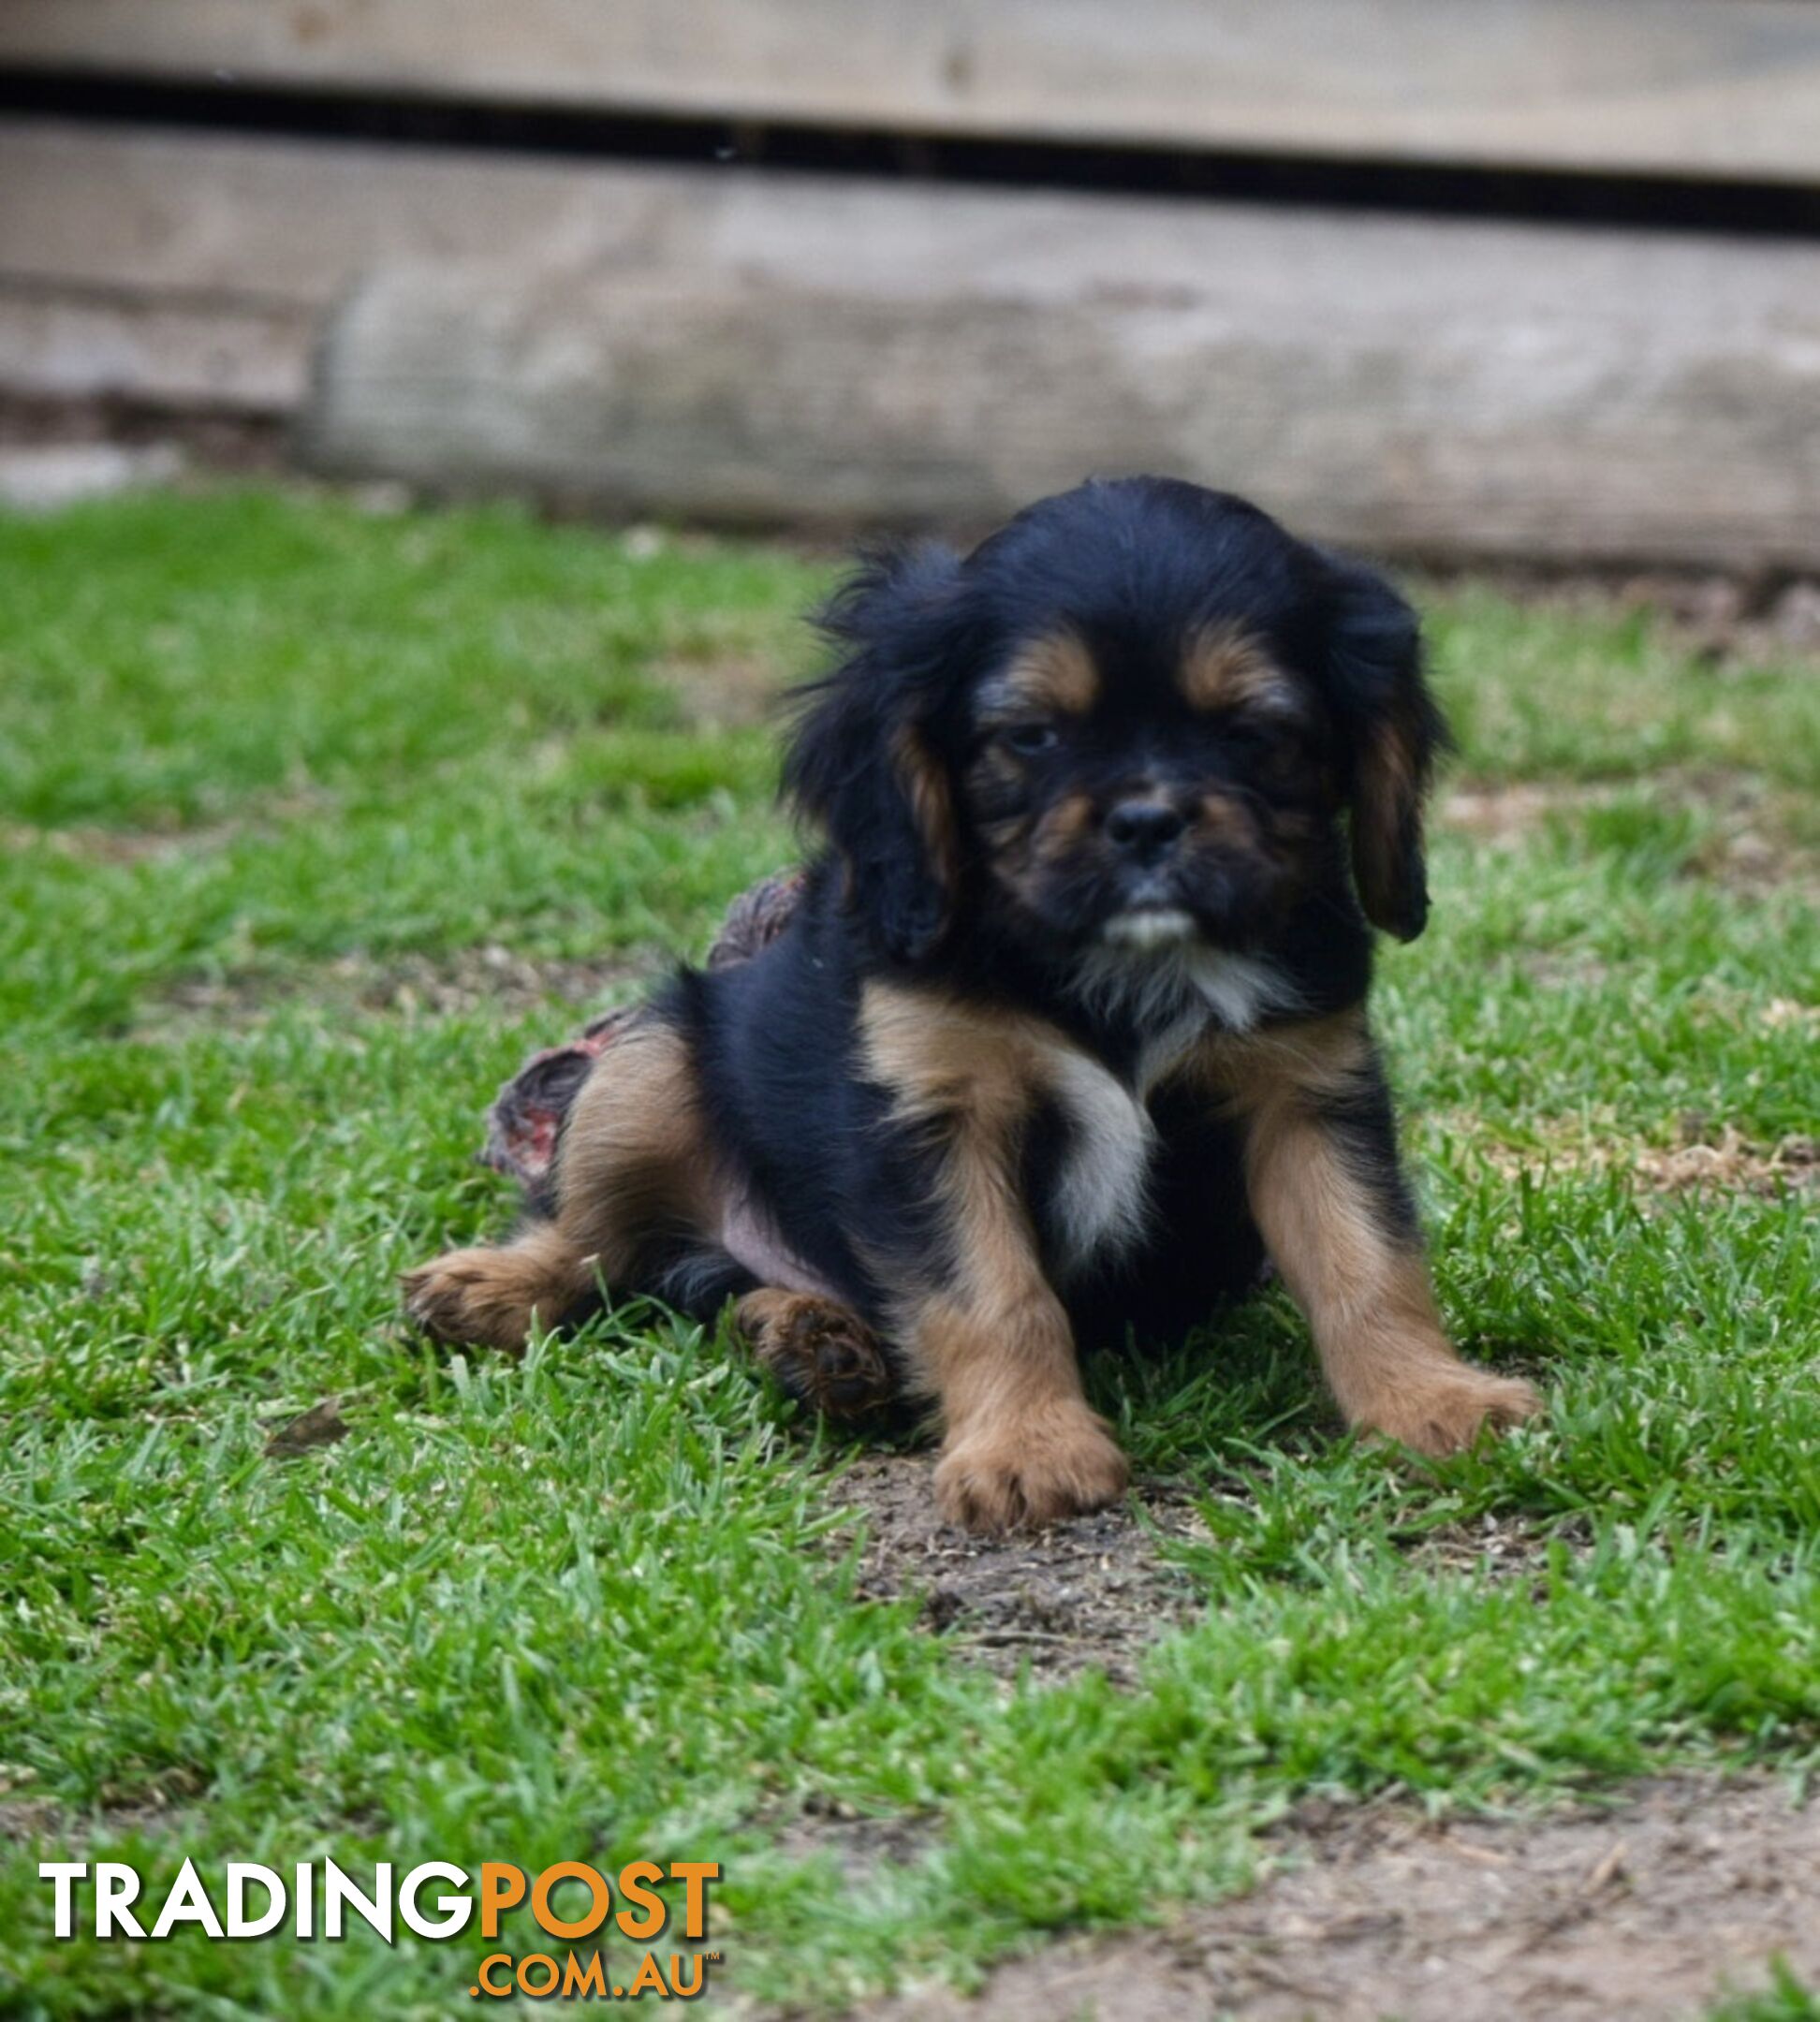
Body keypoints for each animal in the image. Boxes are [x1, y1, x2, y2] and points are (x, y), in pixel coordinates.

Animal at [404, 481, 1545, 1528]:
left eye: (1255, 730)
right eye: (1030, 736)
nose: (1147, 820)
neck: (1118, 965)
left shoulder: (1304, 1088)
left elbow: (1367, 1258)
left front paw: (1435, 1402)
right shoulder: (934, 1112)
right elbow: (993, 1294)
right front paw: (1029, 1452)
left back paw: (812, 1343)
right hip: (648, 1061)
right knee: (596, 1238)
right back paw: (495, 1287)